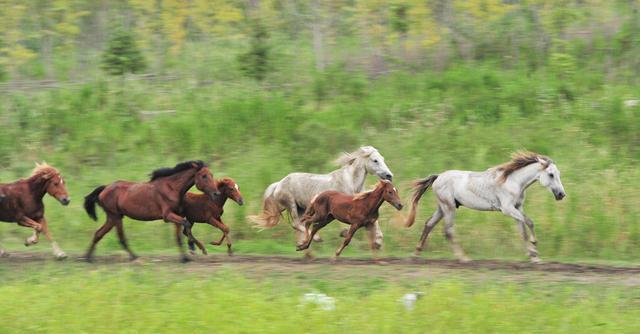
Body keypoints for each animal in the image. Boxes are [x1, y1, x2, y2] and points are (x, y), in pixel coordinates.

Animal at [82, 160, 220, 262]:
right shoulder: (167, 216)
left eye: (212, 175)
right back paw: (134, 257)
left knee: (98, 234)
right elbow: (186, 224)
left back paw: (88, 258)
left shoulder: (176, 215)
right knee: (120, 238)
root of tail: (105, 188)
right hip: (115, 216)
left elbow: (179, 236)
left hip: (113, 217)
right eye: (204, 176)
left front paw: (186, 257)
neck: (172, 188)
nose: (216, 193)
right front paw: (195, 248)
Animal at [251, 145, 396, 258]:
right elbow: (346, 229)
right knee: (298, 224)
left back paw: (306, 251)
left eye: (383, 159)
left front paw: (378, 243)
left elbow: (375, 224)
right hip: (291, 204)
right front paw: (345, 235)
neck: (351, 182)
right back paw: (316, 239)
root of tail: (278, 184)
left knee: (301, 225)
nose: (389, 176)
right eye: (375, 160)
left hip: (301, 208)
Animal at [404, 151, 564, 264]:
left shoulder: (518, 208)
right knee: (448, 231)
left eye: (558, 174)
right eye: (551, 174)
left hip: (442, 207)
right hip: (449, 207)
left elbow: (523, 231)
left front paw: (534, 257)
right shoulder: (507, 209)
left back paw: (415, 254)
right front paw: (534, 248)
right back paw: (464, 258)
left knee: (429, 224)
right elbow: (530, 222)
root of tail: (438, 177)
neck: (513, 181)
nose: (561, 194)